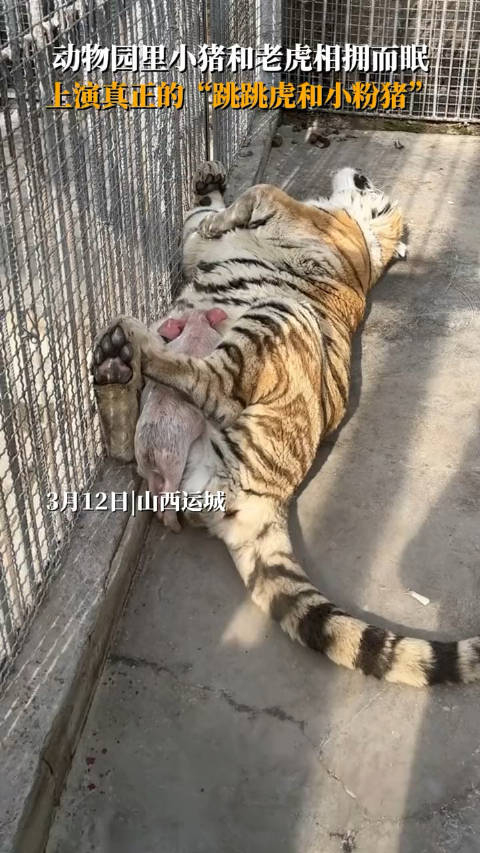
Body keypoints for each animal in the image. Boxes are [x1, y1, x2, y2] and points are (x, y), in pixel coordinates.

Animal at [92, 159, 480, 688]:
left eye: (379, 197)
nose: (360, 174)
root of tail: (266, 501)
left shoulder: (296, 218)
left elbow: (262, 192)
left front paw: (222, 206)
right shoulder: (202, 245)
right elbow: (201, 219)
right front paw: (209, 183)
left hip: (275, 319)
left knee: (206, 382)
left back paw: (133, 340)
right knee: (135, 449)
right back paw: (113, 368)